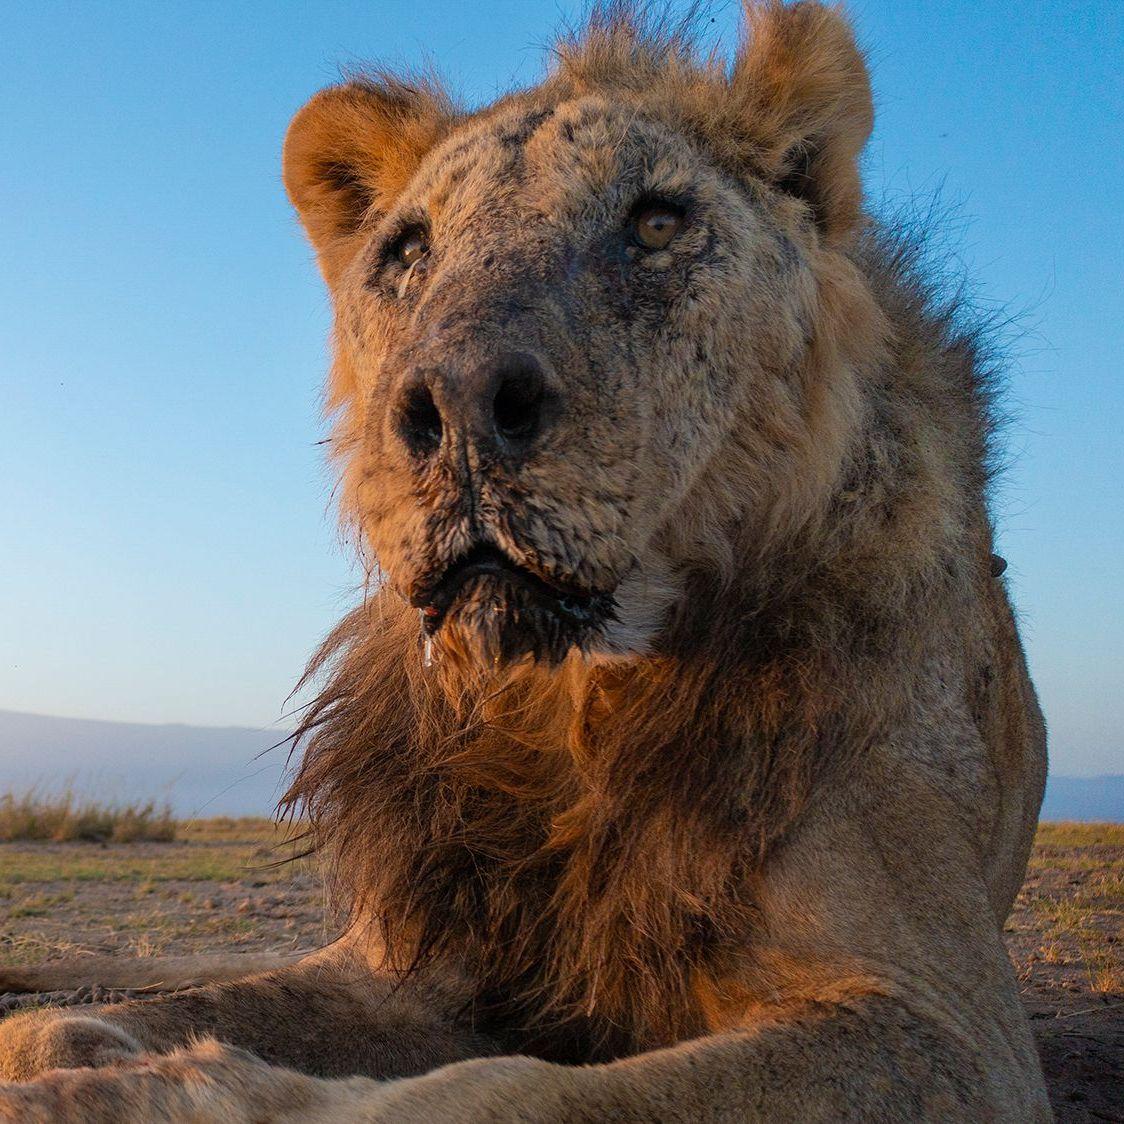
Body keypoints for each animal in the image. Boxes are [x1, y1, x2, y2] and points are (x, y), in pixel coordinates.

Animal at [2, 4, 1052, 1119]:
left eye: (655, 223)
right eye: (408, 250)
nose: (458, 405)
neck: (568, 701)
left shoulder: (944, 1021)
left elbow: (495, 1091)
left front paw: (178, 1090)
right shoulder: (415, 959)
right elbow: (50, 1027)